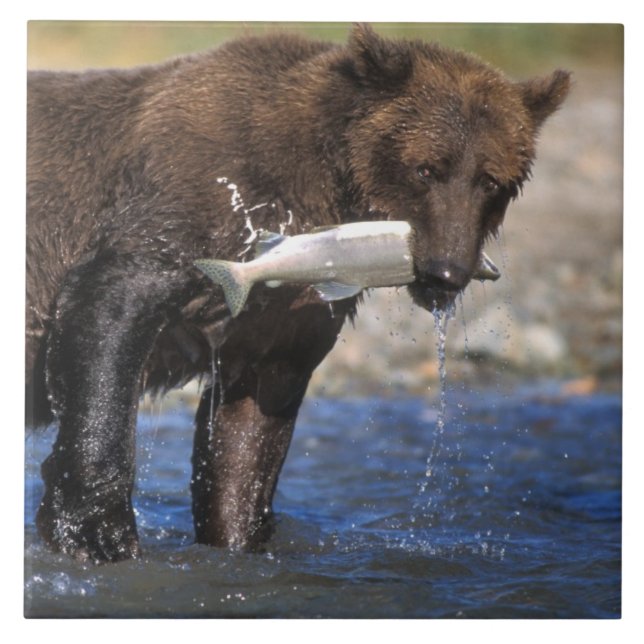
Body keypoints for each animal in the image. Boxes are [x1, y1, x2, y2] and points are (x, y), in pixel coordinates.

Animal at [26, 24, 570, 563]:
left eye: (491, 180)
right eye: (427, 169)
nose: (446, 271)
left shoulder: (283, 315)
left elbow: (249, 431)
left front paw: (237, 535)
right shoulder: (188, 201)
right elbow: (108, 316)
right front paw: (96, 532)